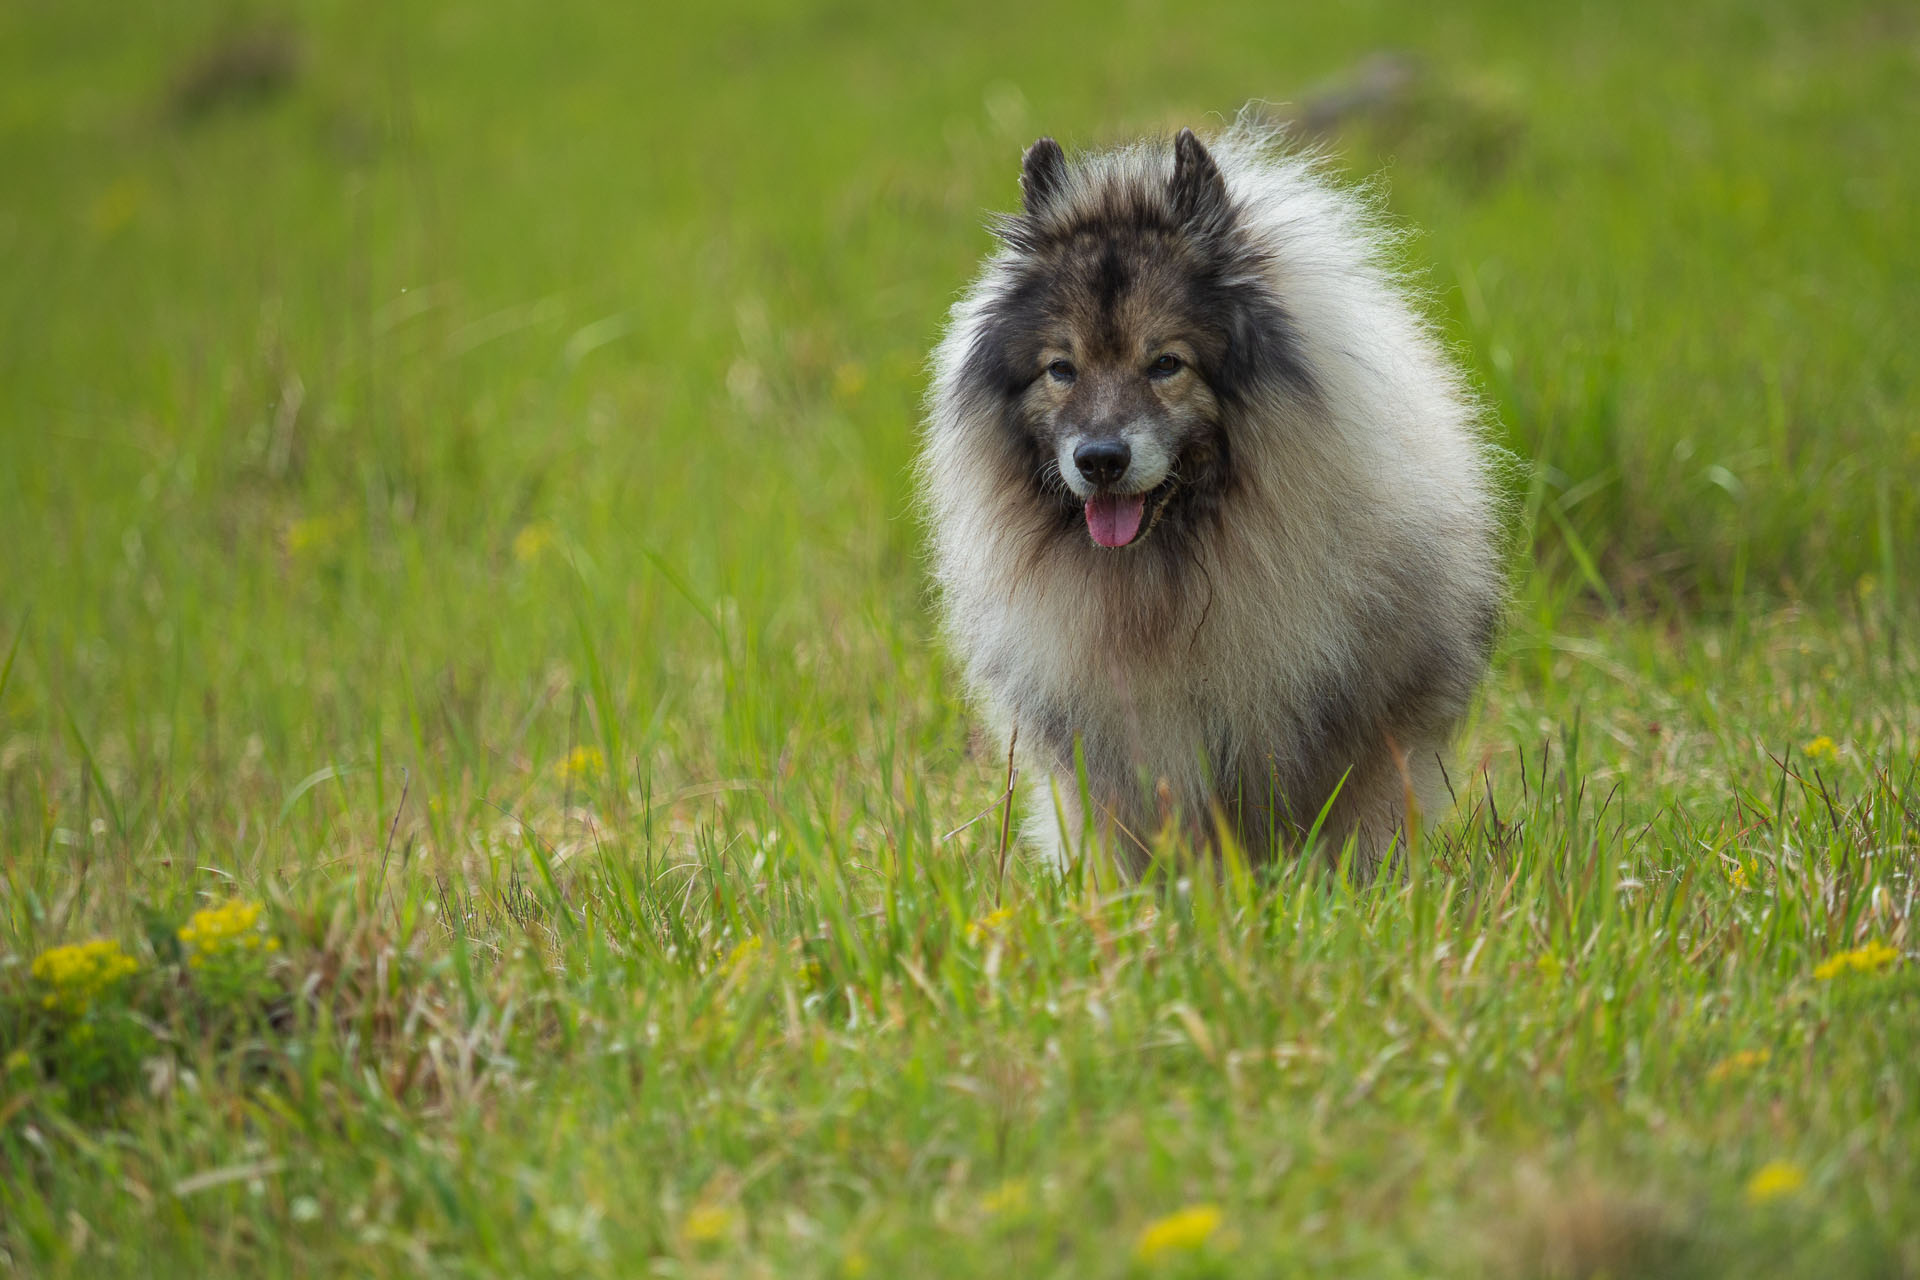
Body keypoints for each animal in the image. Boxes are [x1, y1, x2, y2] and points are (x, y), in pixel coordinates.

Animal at [921, 119, 1505, 875]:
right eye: (1062, 370)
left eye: (1166, 364)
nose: (1100, 460)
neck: (1164, 578)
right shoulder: (1109, 754)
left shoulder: (1339, 726)